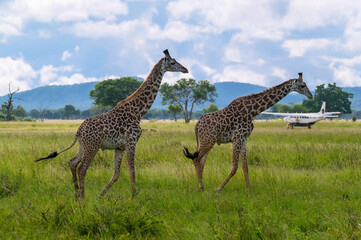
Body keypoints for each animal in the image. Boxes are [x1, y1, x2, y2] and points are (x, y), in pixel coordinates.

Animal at [35, 49, 188, 198]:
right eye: (173, 62)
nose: (185, 69)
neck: (138, 112)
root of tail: (79, 131)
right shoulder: (131, 142)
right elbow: (132, 170)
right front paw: (134, 196)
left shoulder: (119, 147)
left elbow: (116, 174)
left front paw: (101, 195)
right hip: (93, 146)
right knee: (82, 168)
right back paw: (83, 198)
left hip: (83, 145)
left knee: (72, 162)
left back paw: (77, 195)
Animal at [183, 72, 312, 191]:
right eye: (302, 85)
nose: (310, 95)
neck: (252, 111)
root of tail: (196, 126)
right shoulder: (237, 137)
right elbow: (235, 166)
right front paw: (219, 188)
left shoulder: (244, 138)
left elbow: (245, 166)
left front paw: (249, 189)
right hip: (208, 140)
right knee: (197, 158)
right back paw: (200, 187)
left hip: (208, 141)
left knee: (201, 160)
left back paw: (202, 186)